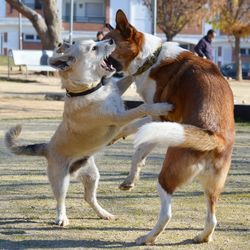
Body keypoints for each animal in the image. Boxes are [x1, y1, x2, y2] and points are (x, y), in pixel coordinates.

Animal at [104, 10, 235, 246]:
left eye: (109, 41)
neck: (150, 59)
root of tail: (213, 136)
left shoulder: (159, 117)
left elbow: (134, 134)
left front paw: (116, 137)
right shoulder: (160, 123)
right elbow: (139, 152)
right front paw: (130, 180)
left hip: (166, 176)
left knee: (166, 214)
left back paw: (147, 238)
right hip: (212, 186)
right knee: (212, 218)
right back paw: (202, 237)